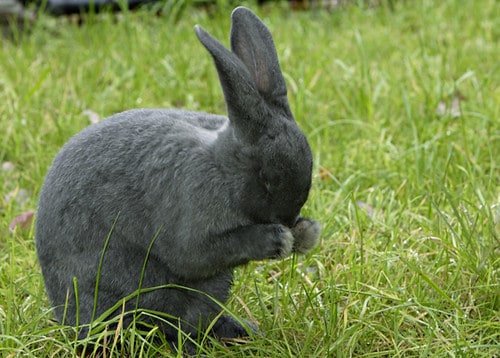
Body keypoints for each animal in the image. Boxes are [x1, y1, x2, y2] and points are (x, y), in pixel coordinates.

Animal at [37, 5, 322, 352]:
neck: (222, 168)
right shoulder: (191, 209)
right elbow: (193, 255)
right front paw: (278, 239)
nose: (289, 221)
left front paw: (306, 233)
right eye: (267, 178)